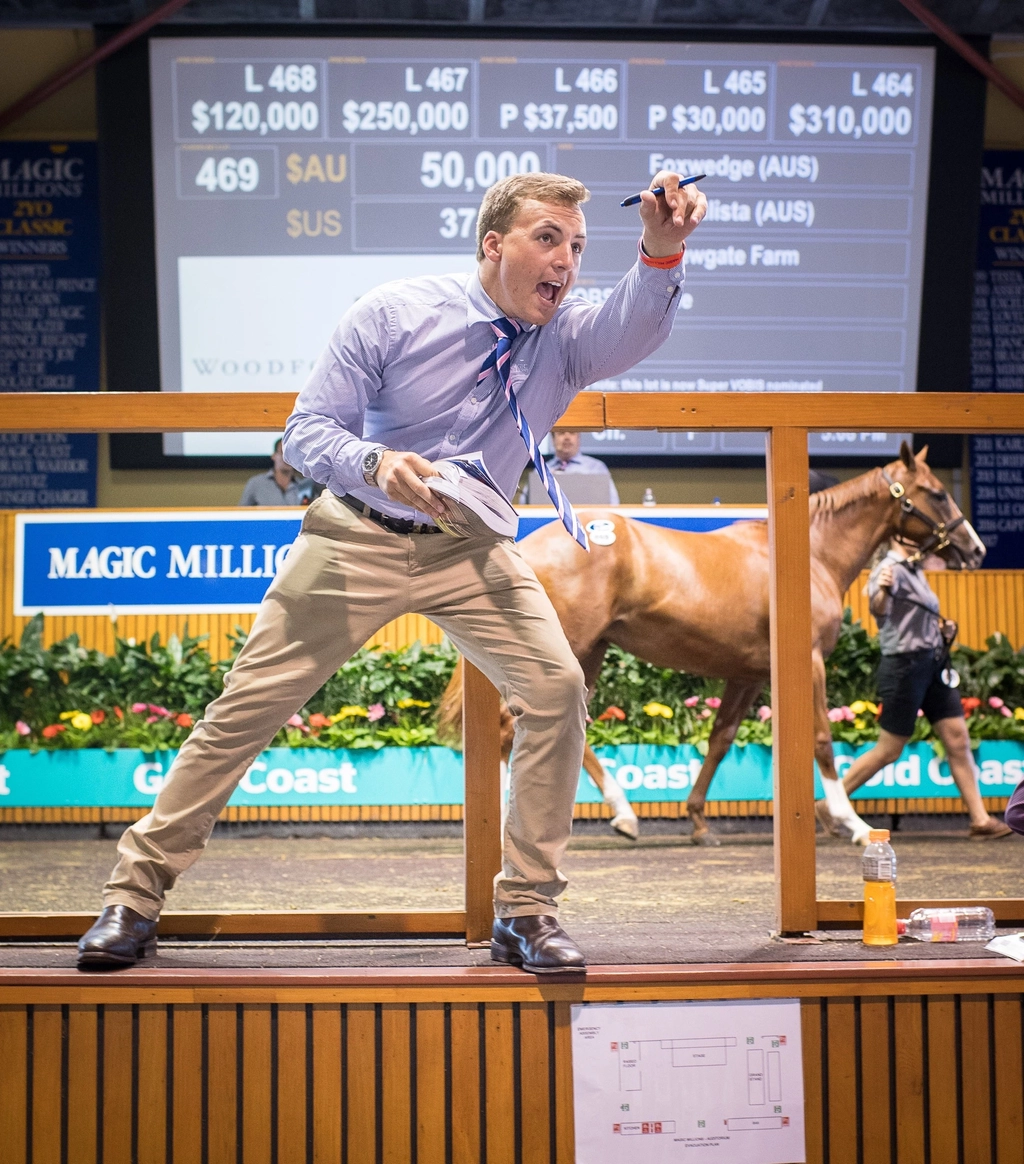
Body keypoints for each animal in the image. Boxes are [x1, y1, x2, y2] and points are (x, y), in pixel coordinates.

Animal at [439, 439, 982, 842]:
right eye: (936, 493)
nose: (974, 549)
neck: (811, 555)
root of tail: (525, 543)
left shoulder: (748, 676)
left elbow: (720, 741)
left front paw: (699, 820)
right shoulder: (809, 663)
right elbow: (823, 740)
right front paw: (852, 822)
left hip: (587, 652)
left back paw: (623, 814)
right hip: (570, 647)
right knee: (513, 729)